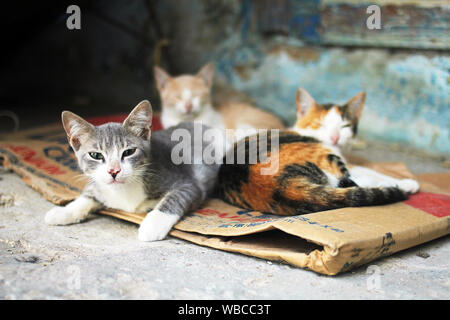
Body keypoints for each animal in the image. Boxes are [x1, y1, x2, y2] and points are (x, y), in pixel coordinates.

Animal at [44, 101, 221, 241]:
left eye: (129, 152)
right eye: (96, 155)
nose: (113, 171)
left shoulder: (187, 182)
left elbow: (176, 197)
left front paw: (153, 224)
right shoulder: (98, 182)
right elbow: (88, 194)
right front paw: (64, 211)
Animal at [216, 87, 420, 215]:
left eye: (345, 126)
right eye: (320, 124)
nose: (335, 137)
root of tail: (279, 186)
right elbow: (367, 173)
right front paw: (406, 182)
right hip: (326, 158)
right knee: (347, 182)